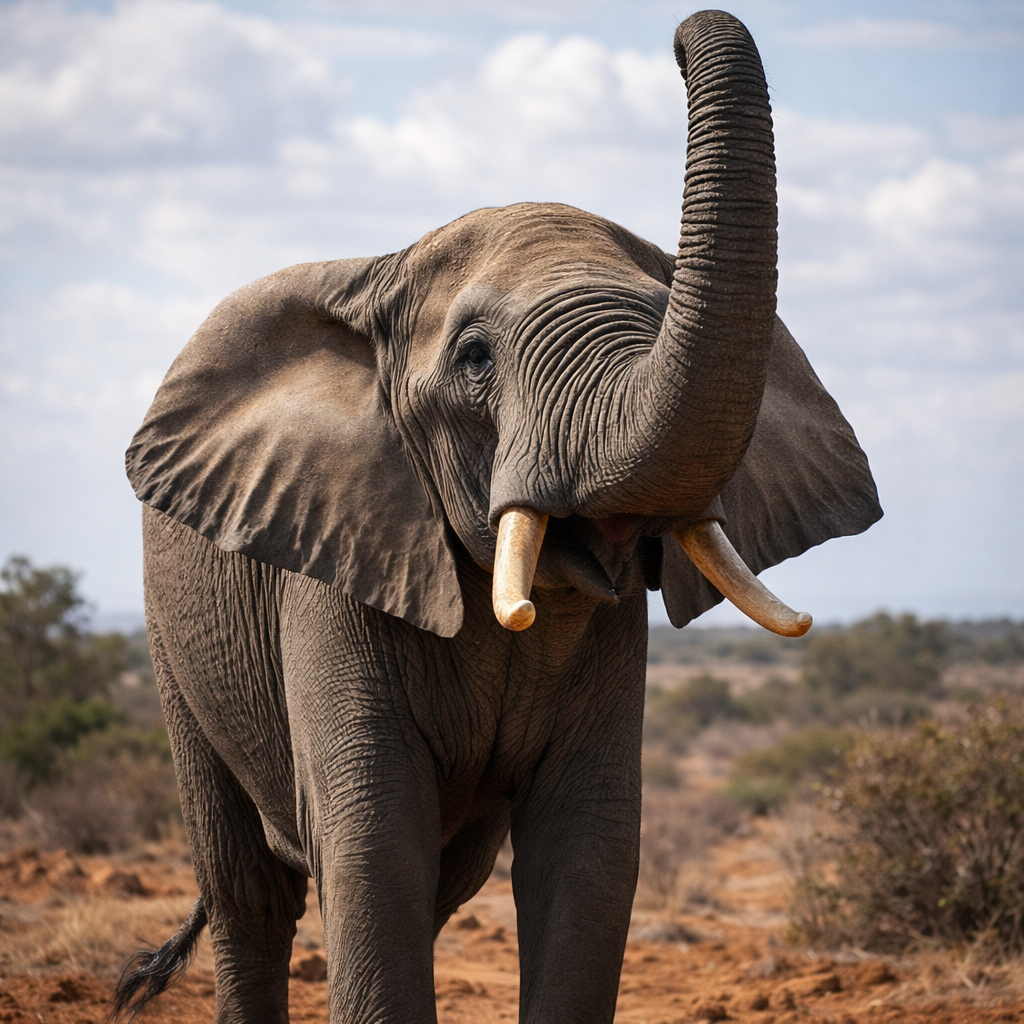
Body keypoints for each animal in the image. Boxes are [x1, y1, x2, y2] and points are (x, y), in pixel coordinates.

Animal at [114, 10, 880, 1024]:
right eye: (475, 359)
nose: (679, 40)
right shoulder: (331, 566)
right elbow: (371, 844)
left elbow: (589, 849)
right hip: (174, 645)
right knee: (250, 892)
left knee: (446, 881)